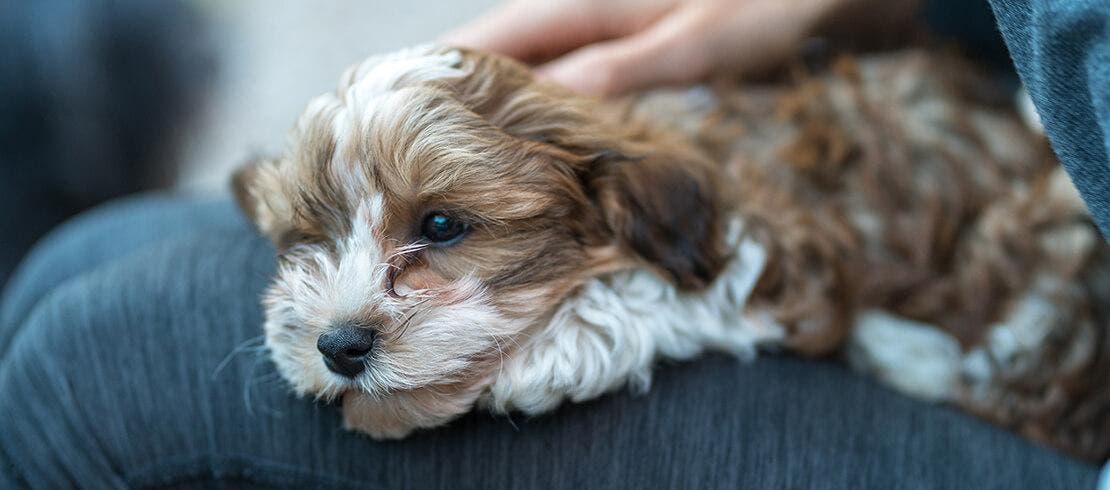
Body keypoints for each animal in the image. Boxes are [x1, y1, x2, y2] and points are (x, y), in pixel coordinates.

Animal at [234, 43, 1110, 460]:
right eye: (307, 239)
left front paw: (549, 352)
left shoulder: (782, 252)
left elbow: (657, 294)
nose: (340, 344)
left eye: (443, 225)